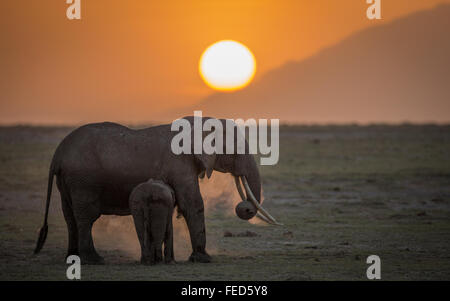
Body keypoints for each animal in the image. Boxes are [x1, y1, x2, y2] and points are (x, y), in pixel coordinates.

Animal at [33, 115, 278, 262]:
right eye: (234, 149)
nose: (244, 207)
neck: (198, 122)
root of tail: (58, 154)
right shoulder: (179, 164)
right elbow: (192, 204)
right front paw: (204, 259)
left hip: (69, 182)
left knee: (70, 217)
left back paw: (73, 257)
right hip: (83, 180)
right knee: (86, 217)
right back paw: (94, 259)